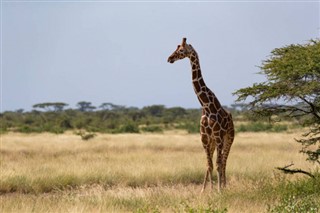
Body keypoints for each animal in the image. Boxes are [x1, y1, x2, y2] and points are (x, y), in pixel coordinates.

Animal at [168, 38, 235, 193]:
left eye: (181, 50)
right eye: (176, 48)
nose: (169, 58)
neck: (206, 106)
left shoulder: (218, 137)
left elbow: (218, 164)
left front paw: (219, 190)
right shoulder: (204, 138)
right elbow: (209, 165)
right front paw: (207, 191)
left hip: (228, 138)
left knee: (224, 162)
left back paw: (224, 186)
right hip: (212, 142)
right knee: (214, 162)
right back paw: (209, 188)